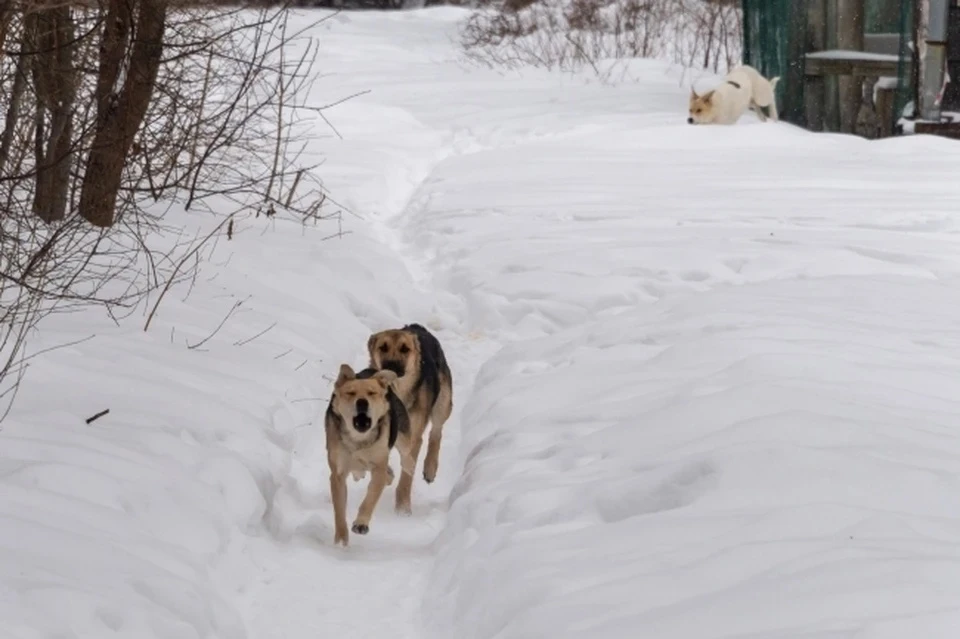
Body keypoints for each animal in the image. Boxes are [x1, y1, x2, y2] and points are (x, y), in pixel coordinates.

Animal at [326, 364, 408, 544]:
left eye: (371, 393)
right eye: (351, 393)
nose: (362, 402)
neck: (359, 440)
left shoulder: (378, 465)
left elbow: (370, 498)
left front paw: (361, 523)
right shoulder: (338, 472)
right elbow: (339, 509)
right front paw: (341, 541)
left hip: (403, 439)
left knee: (406, 459)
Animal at [370, 324, 456, 516]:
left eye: (405, 349)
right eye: (383, 347)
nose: (392, 366)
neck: (399, 391)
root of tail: (417, 327)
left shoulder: (413, 437)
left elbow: (407, 475)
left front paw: (402, 508)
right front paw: (387, 475)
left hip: (443, 403)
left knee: (436, 432)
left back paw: (430, 468)